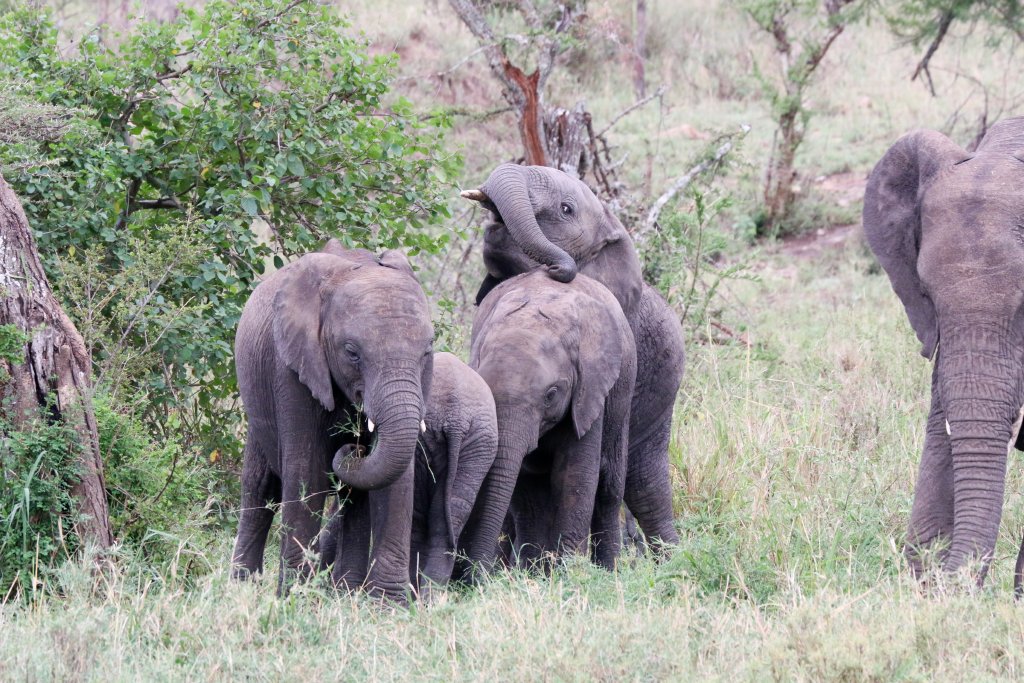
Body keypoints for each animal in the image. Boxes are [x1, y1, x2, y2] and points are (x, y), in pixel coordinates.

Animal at [230, 240, 435, 600]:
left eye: (427, 351)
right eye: (352, 352)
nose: (354, 447)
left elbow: (396, 480)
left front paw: (388, 604)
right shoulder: (292, 368)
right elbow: (307, 473)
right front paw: (296, 598)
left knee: (354, 496)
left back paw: (345, 592)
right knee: (261, 489)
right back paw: (240, 591)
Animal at [318, 351, 499, 596]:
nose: (356, 449)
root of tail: (457, 420)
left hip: (438, 443)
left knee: (422, 517)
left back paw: (418, 594)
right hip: (478, 444)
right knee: (451, 514)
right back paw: (430, 597)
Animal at [456, 270, 637, 574]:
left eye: (551, 394)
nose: (474, 576)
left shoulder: (589, 389)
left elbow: (574, 477)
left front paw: (571, 574)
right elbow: (525, 485)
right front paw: (535, 575)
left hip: (622, 397)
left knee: (608, 488)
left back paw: (609, 571)